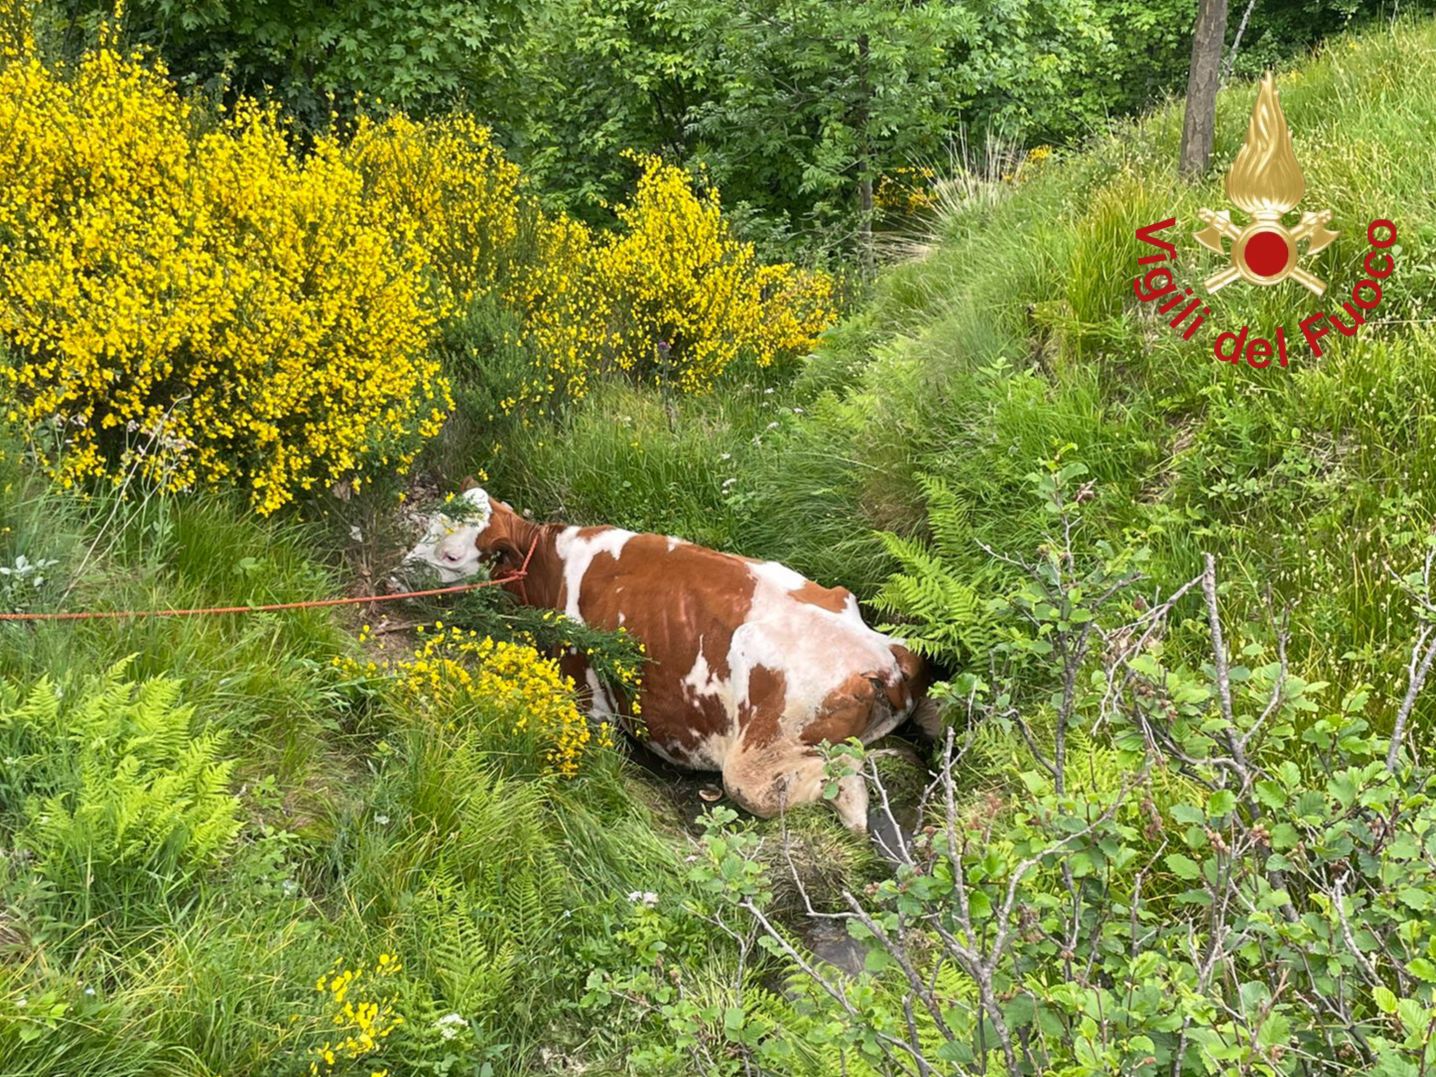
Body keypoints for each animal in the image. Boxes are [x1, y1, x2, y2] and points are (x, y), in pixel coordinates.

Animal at [403, 486, 935, 830]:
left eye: (452, 555)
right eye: (425, 526)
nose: (397, 573)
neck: (555, 566)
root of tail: (877, 658)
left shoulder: (587, 698)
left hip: (755, 765)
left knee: (838, 792)